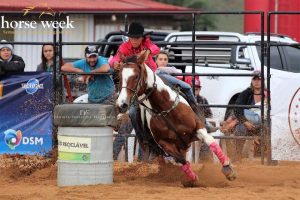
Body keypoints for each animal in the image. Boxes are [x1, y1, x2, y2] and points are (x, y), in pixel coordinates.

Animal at [116, 50, 236, 186]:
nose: (122, 104)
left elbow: (211, 142)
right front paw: (192, 178)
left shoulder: (198, 127)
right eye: (120, 77)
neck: (165, 108)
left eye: (136, 76)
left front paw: (228, 169)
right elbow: (180, 160)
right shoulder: (164, 143)